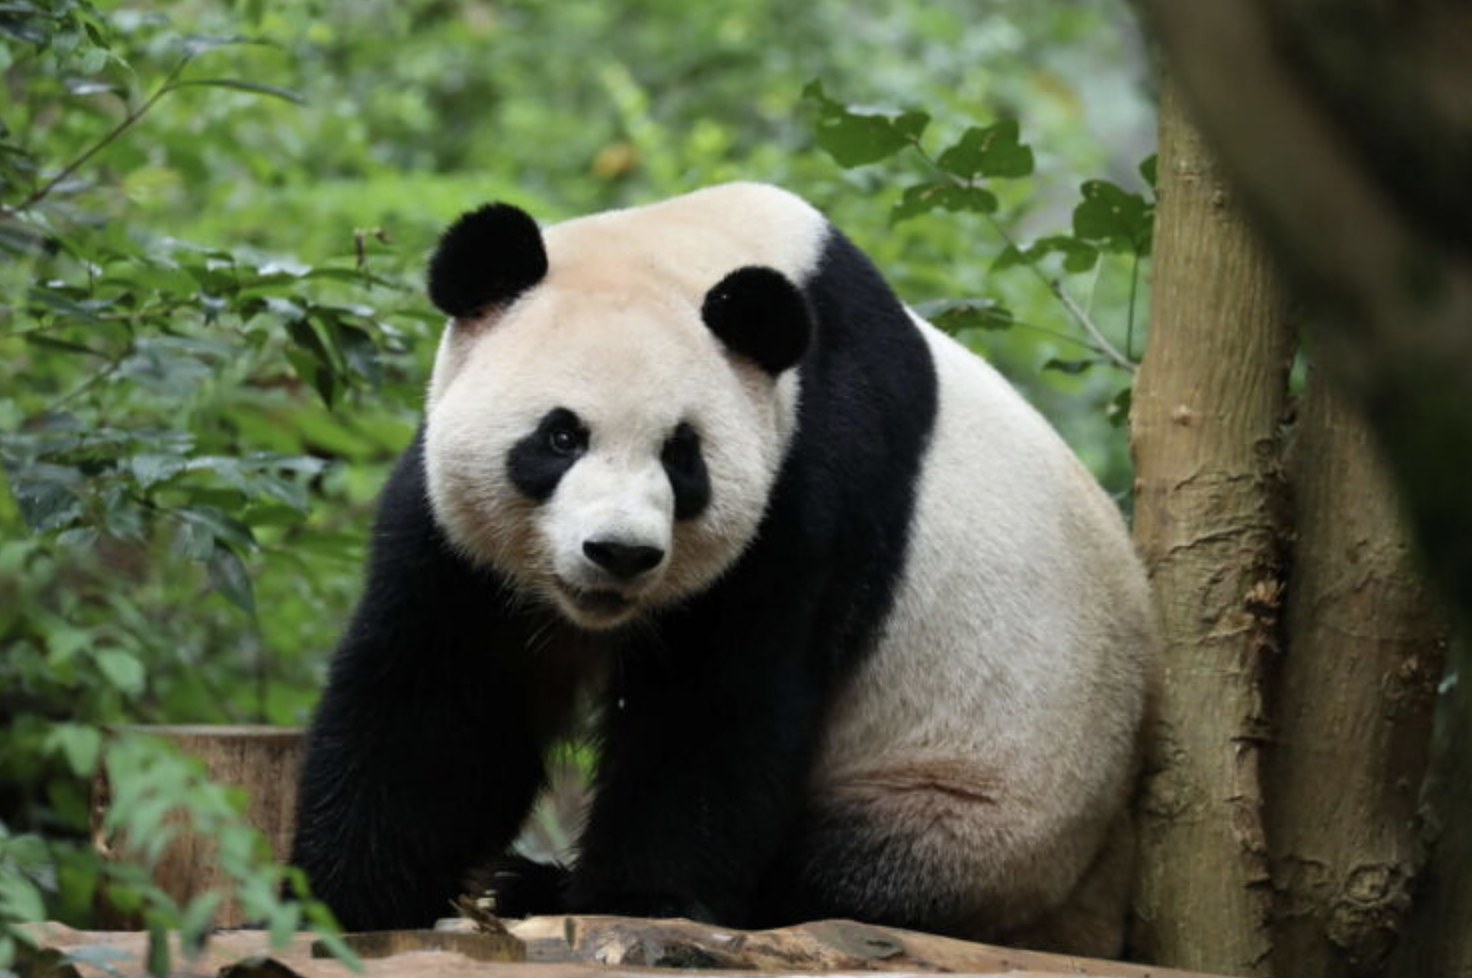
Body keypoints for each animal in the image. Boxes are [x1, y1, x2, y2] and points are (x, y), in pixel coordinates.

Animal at [290, 183, 1155, 956]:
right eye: (560, 436)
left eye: (683, 457)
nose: (619, 552)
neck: (686, 249)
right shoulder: (456, 529)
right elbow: (445, 698)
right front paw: (340, 899)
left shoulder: (811, 474)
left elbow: (717, 707)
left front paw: (634, 904)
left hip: (973, 808)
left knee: (846, 875)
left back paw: (536, 885)